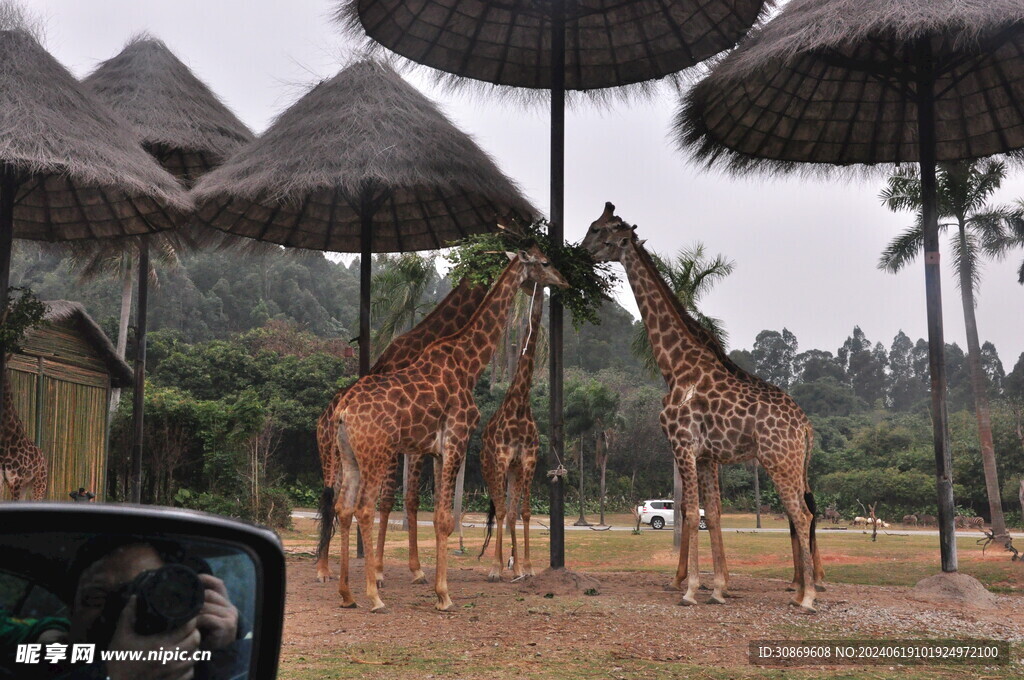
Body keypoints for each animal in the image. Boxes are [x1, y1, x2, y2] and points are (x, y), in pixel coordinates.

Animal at [313, 278, 485, 581]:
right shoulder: (401, 444)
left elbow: (411, 498)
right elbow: (388, 499)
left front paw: (416, 569)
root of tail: (323, 418)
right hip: (329, 454)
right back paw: (322, 569)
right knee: (329, 498)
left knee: (338, 500)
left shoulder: (418, 443)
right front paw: (380, 570)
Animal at [585, 204, 823, 614]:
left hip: (779, 459)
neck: (675, 366)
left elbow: (689, 511)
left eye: (599, 230)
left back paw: (807, 596)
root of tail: (805, 427)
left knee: (802, 513)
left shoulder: (683, 444)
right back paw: (797, 592)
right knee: (802, 514)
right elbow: (710, 514)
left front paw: (691, 589)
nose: (580, 251)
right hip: (794, 463)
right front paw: (719, 588)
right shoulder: (709, 455)